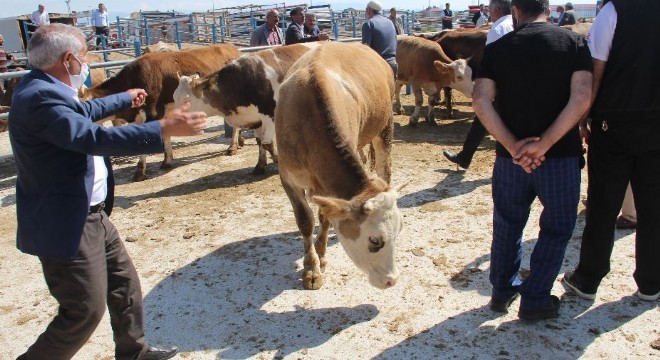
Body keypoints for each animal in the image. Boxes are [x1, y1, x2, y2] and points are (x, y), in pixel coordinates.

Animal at [82, 44, 242, 181]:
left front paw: (140, 171)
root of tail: (232, 48)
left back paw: (232, 146)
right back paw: (240, 141)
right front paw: (167, 160)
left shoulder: (152, 114)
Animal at [174, 42, 320, 174]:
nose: (175, 121)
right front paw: (260, 165)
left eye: (186, 100)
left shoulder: (270, 115)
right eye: (174, 98)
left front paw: (277, 159)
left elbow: (267, 143)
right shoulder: (255, 118)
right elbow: (259, 141)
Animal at [274, 42, 402, 290]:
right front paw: (311, 268)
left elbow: (324, 217)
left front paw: (321, 256)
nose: (392, 280)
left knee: (385, 168)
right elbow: (305, 220)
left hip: (385, 125)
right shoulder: (287, 177)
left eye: (399, 230)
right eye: (375, 240)